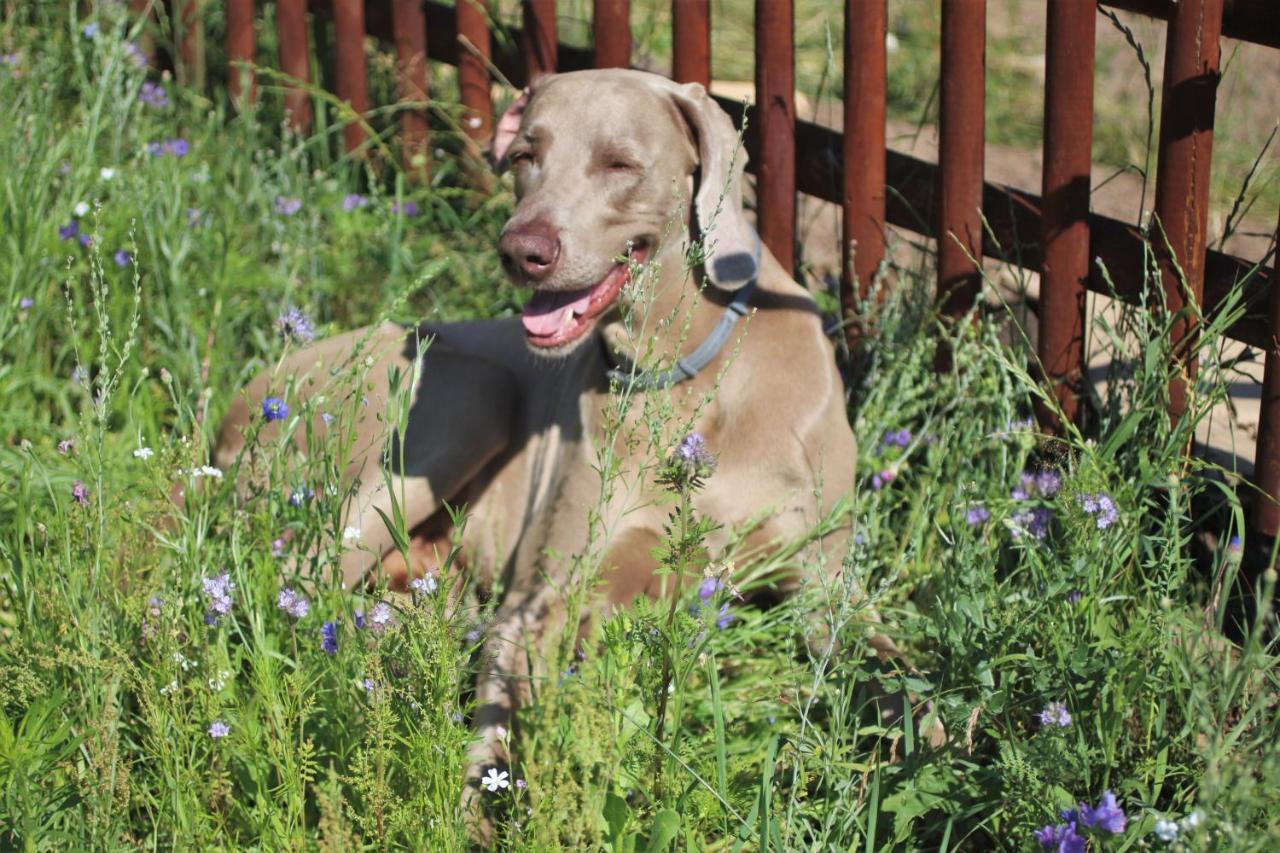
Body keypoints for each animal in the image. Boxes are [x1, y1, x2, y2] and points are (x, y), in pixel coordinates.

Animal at [215, 69, 926, 814]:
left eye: (620, 164)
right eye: (526, 156)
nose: (521, 251)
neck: (688, 375)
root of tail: (238, 406)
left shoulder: (824, 584)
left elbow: (900, 676)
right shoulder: (546, 592)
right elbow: (506, 712)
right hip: (468, 394)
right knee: (298, 586)